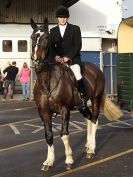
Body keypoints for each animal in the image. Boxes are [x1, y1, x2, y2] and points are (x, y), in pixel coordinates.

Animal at [30, 17, 122, 171]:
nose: (36, 60)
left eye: (47, 37)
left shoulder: (64, 110)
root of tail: (96, 69)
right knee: (89, 119)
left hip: (96, 99)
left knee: (94, 119)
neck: (48, 80)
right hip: (81, 105)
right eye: (32, 37)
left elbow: (64, 134)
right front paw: (48, 162)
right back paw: (87, 146)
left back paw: (91, 150)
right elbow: (48, 135)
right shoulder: (44, 111)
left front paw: (69, 160)